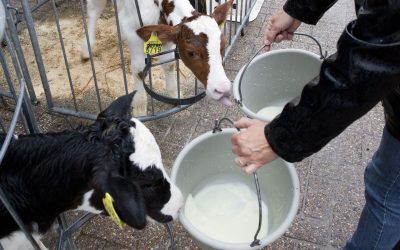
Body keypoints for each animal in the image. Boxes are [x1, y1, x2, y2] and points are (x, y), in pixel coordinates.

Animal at [80, 0, 234, 116]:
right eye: (191, 52)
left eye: (223, 45)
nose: (223, 89)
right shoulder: (131, 30)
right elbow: (139, 69)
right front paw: (139, 107)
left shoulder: (165, 33)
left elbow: (169, 64)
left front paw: (174, 95)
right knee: (94, 9)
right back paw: (87, 48)